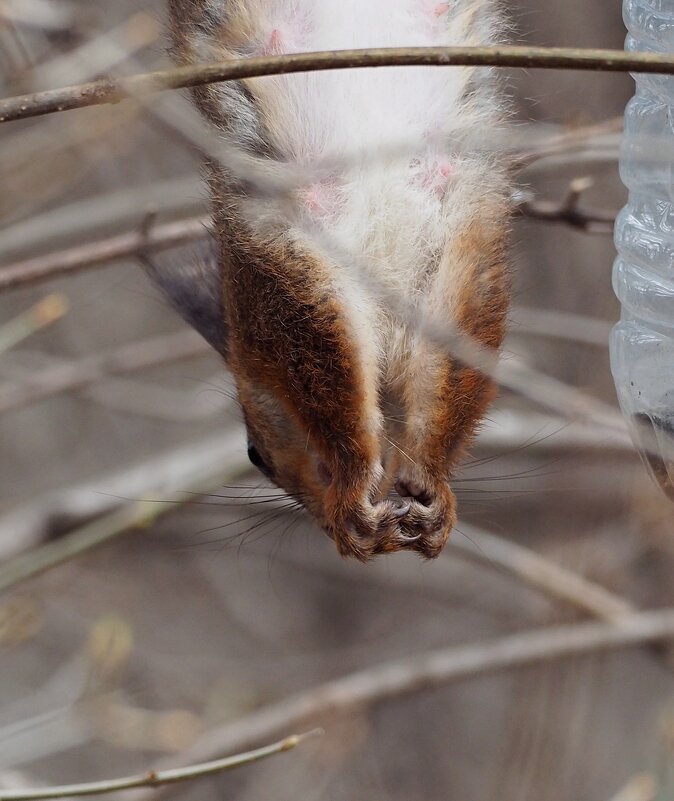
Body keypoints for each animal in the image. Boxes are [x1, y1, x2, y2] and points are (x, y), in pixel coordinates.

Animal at [152, 0, 510, 560]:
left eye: (254, 454)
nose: (320, 524)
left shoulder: (278, 286)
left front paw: (358, 499)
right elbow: (454, 356)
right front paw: (416, 490)